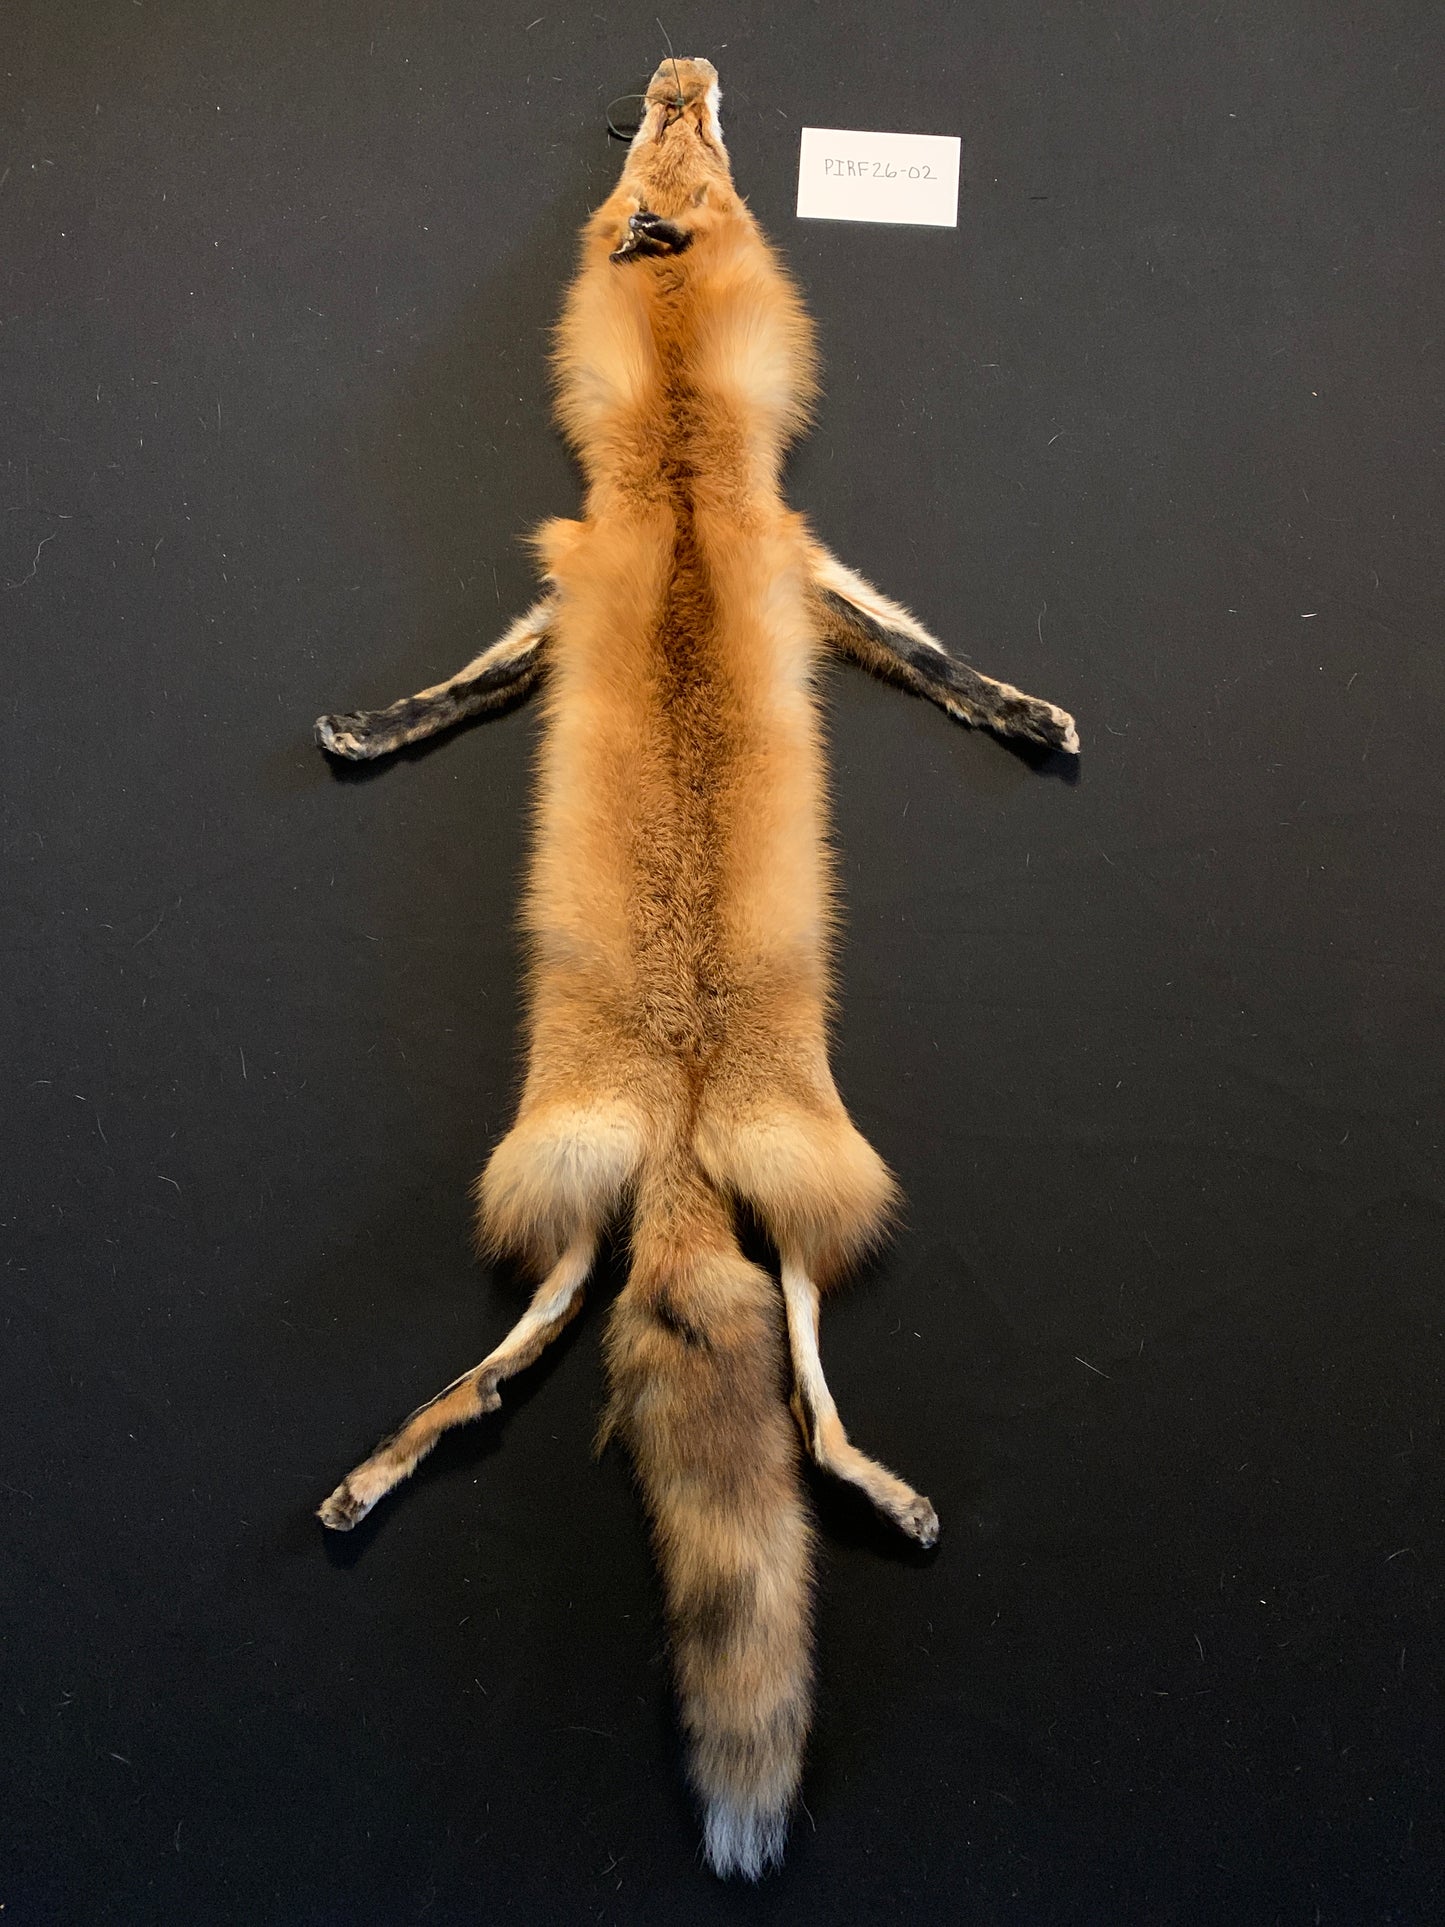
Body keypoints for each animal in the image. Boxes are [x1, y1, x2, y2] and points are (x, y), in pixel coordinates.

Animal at [314, 56, 1078, 1880]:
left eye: (697, 164)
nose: (679, 70)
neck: (669, 476)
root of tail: (669, 1126)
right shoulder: (663, 565)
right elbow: (468, 685)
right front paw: (375, 728)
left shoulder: (765, 561)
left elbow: (940, 661)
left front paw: (1027, 716)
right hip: (656, 1185)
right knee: (608, 1375)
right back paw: (388, 1469)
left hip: (698, 1185)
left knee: (710, 1377)